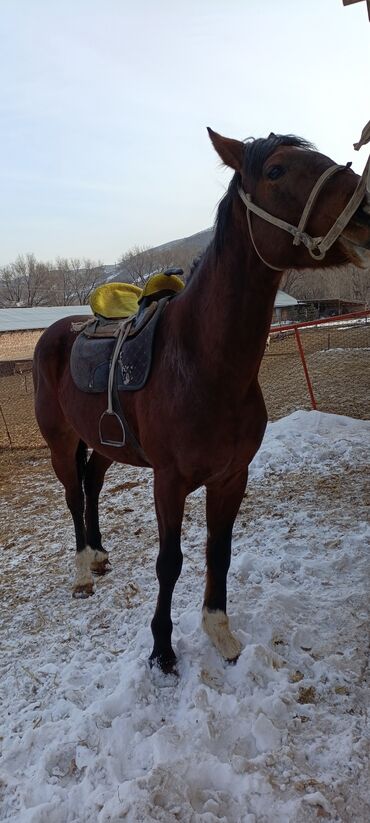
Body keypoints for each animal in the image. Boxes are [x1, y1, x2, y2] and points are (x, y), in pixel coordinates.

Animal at [33, 125, 370, 672]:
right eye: (275, 170)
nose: (365, 213)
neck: (203, 364)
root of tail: (57, 331)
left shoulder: (232, 477)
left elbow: (220, 551)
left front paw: (219, 632)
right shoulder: (168, 482)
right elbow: (169, 562)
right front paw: (162, 649)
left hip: (107, 445)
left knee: (91, 484)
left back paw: (100, 555)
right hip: (61, 443)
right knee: (71, 495)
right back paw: (83, 570)